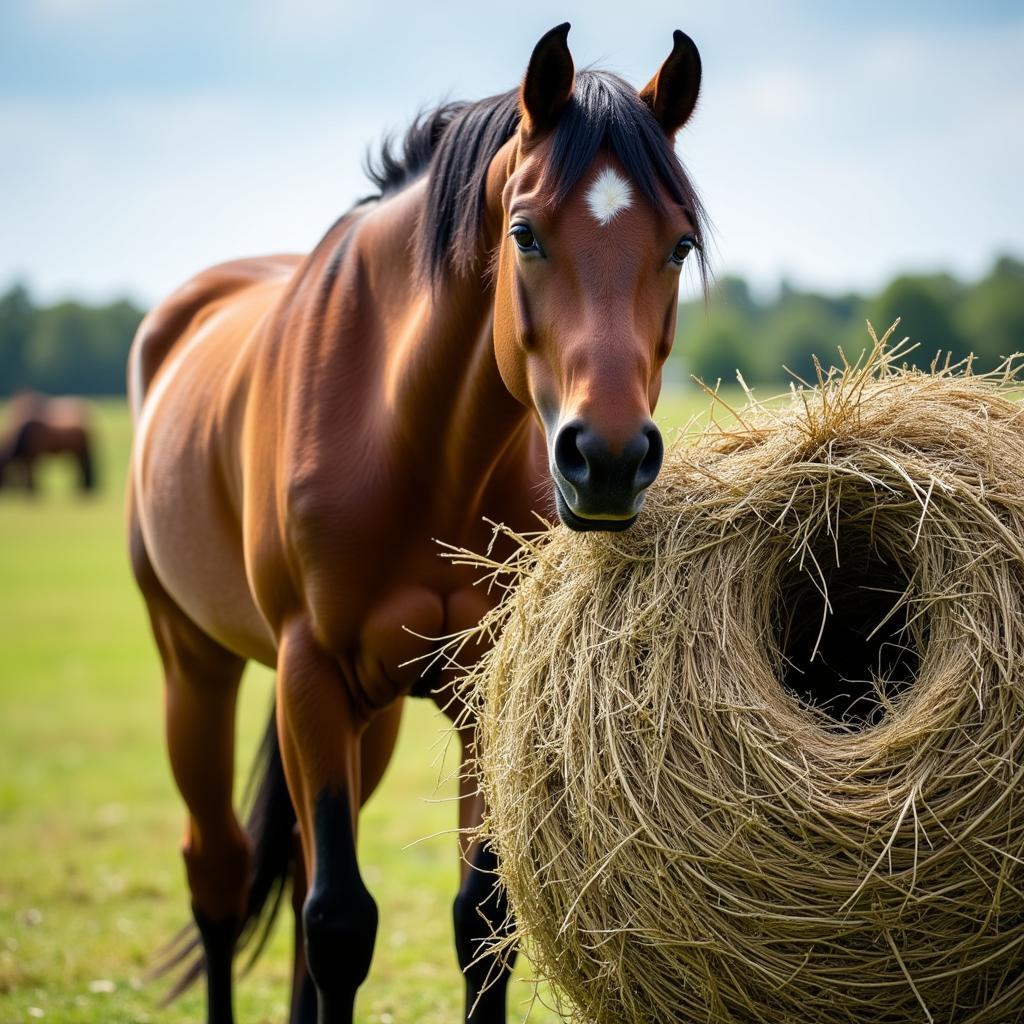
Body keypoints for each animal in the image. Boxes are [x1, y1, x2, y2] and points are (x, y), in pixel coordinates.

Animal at [125, 24, 704, 1024]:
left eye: (677, 244)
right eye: (524, 234)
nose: (610, 458)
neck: (413, 439)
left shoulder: (482, 687)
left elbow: (481, 921)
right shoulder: (310, 671)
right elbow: (338, 921)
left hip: (371, 715)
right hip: (195, 666)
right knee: (222, 874)